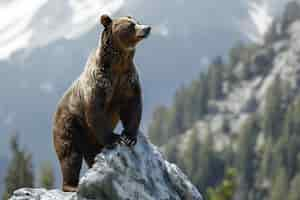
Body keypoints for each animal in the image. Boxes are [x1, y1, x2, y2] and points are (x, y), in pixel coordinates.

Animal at [52, 14, 150, 192]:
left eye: (138, 21)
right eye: (130, 25)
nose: (147, 28)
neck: (119, 63)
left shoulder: (128, 80)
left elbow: (132, 105)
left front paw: (129, 136)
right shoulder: (100, 83)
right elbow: (95, 111)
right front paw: (115, 138)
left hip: (88, 137)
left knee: (90, 153)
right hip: (70, 126)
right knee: (70, 156)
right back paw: (72, 185)